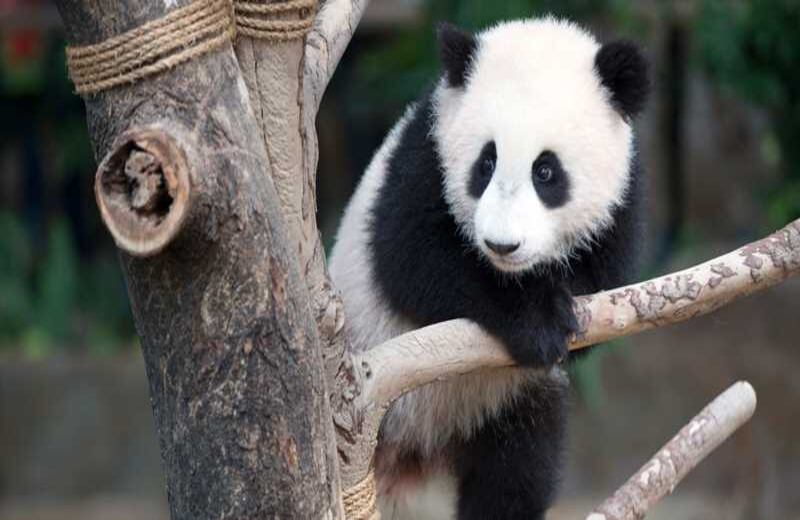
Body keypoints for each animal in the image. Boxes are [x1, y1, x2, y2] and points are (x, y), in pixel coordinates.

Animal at [329, 17, 649, 520]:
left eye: (546, 171)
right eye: (486, 162)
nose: (503, 244)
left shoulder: (622, 197)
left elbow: (605, 288)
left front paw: (558, 301)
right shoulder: (425, 149)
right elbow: (411, 256)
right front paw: (537, 319)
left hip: (503, 401)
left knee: (517, 467)